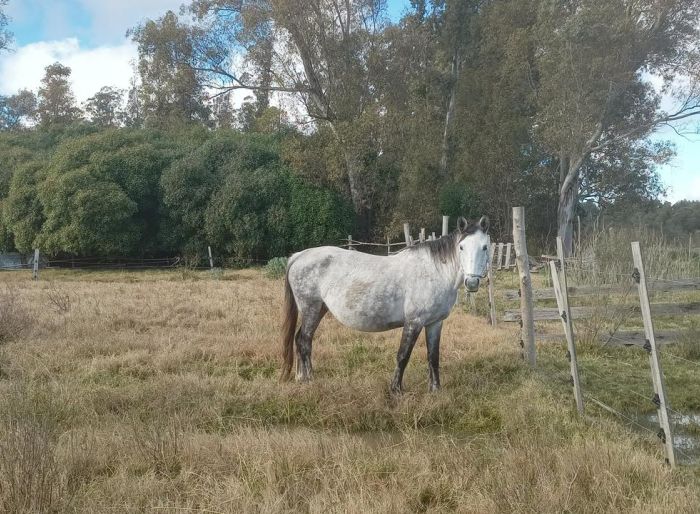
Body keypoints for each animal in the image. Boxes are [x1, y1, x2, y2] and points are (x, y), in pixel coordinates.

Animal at [282, 214, 490, 390]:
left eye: (485, 247)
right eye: (461, 247)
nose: (472, 282)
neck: (435, 271)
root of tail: (299, 256)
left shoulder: (435, 323)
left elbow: (433, 356)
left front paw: (435, 390)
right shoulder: (414, 322)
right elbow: (403, 356)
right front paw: (396, 390)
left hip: (319, 309)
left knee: (301, 338)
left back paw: (301, 377)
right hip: (310, 308)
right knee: (304, 340)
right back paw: (309, 379)